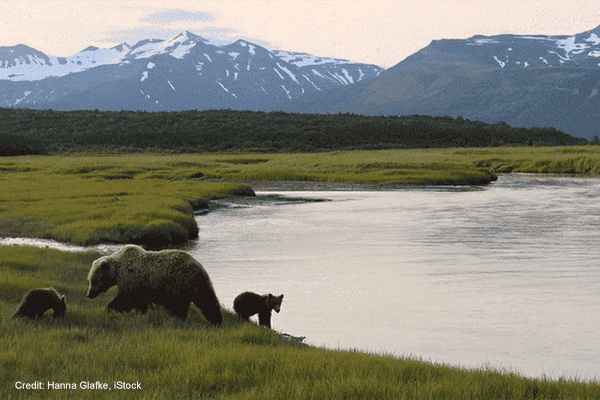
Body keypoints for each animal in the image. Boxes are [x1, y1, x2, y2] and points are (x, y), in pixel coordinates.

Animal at [86, 244, 223, 324]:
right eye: (90, 279)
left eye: (94, 280)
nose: (89, 294)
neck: (117, 270)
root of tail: (198, 264)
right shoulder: (140, 287)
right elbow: (139, 303)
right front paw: (140, 314)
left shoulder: (132, 279)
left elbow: (125, 299)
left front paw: (109, 309)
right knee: (204, 300)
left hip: (179, 283)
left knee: (192, 303)